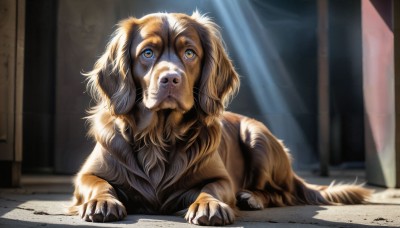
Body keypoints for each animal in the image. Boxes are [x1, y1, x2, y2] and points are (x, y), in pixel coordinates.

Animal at [69, 12, 372, 224]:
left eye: (189, 53)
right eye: (147, 53)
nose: (171, 79)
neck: (159, 136)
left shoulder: (222, 178)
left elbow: (213, 188)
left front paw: (209, 205)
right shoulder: (86, 174)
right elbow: (97, 183)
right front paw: (101, 202)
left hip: (257, 136)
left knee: (282, 192)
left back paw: (252, 197)